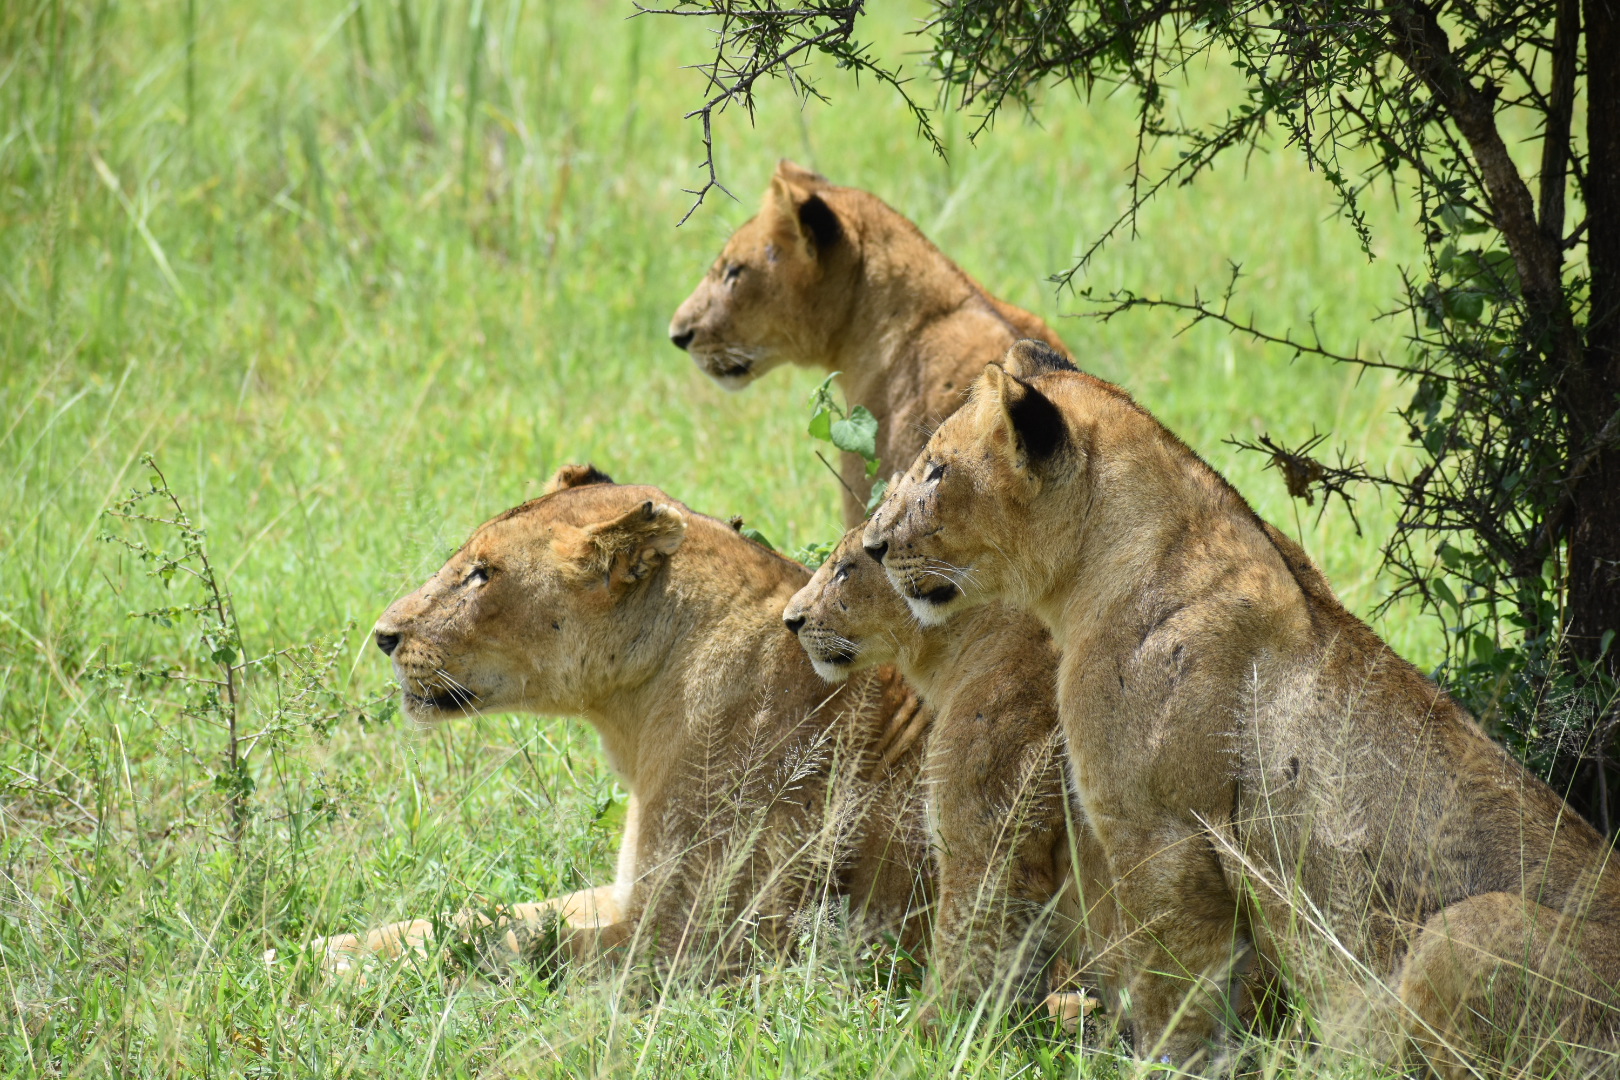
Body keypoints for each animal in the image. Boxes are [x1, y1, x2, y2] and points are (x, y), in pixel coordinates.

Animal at [296, 469, 933, 977]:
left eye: (482, 574)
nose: (383, 635)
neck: (636, 707)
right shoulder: (631, 894)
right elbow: (479, 917)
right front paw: (317, 949)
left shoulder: (697, 941)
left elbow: (496, 945)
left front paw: (330, 975)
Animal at [868, 341, 1620, 1075]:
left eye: (937, 471)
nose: (874, 546)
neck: (1099, 567)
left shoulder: (1159, 829)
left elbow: (1174, 980)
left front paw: (1163, 1063)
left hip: (1465, 928)